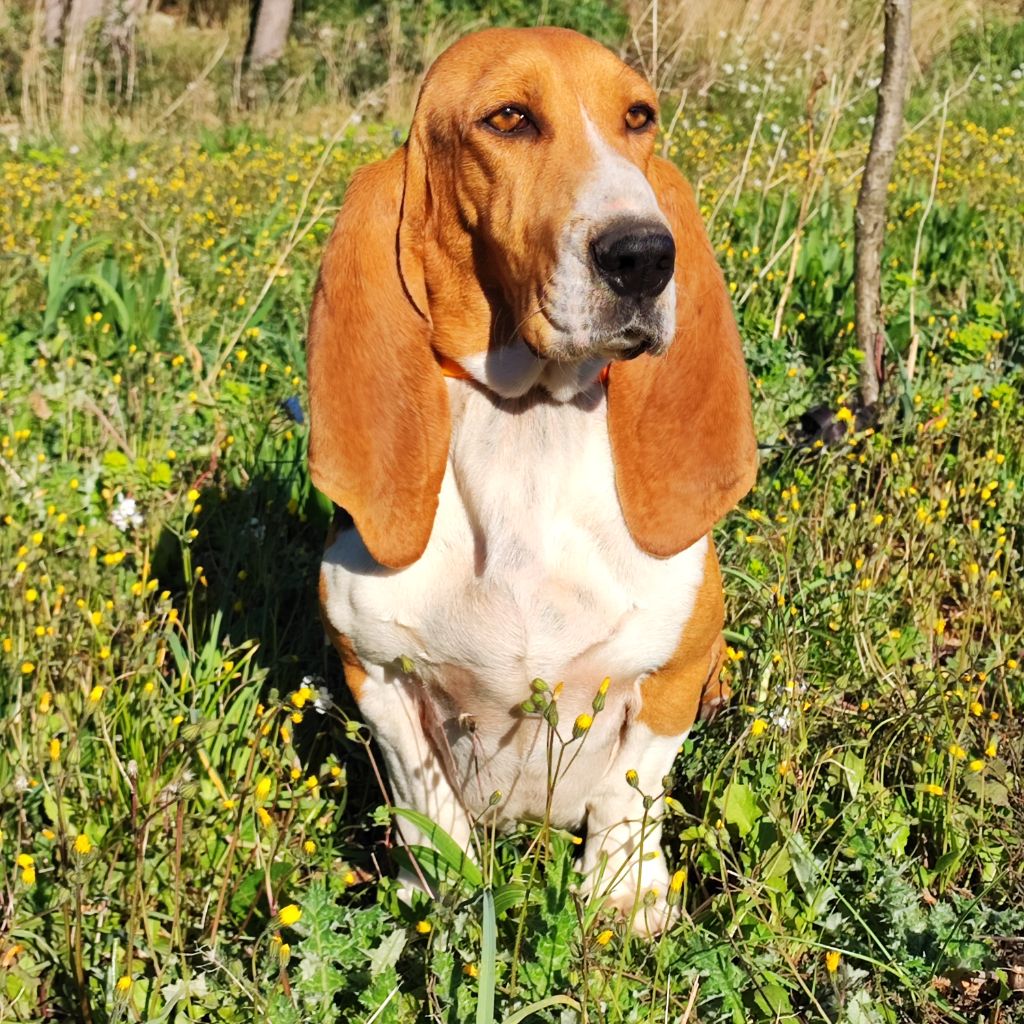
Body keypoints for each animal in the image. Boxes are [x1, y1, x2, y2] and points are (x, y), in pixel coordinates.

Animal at [307, 25, 757, 937]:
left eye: (639, 116)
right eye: (509, 118)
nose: (645, 255)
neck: (527, 425)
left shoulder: (676, 667)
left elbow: (631, 791)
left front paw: (624, 896)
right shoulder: (374, 670)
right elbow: (429, 806)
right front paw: (438, 900)